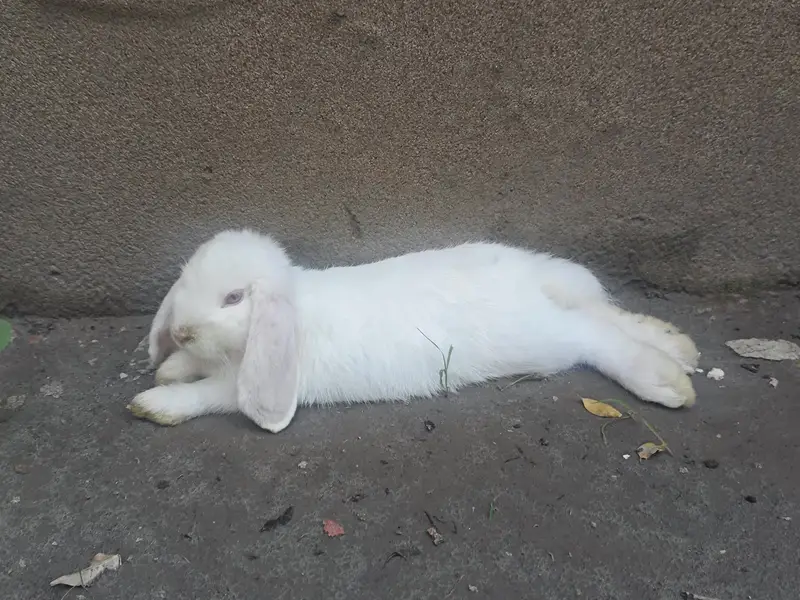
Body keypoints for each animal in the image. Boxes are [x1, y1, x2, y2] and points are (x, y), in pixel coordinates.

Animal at [128, 228, 700, 433]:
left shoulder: (243, 383)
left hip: (541, 339)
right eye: (184, 280)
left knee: (594, 337)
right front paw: (172, 367)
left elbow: (210, 395)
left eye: (233, 298)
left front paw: (154, 403)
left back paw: (664, 379)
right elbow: (192, 372)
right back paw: (679, 346)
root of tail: (532, 278)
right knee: (601, 314)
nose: (180, 331)